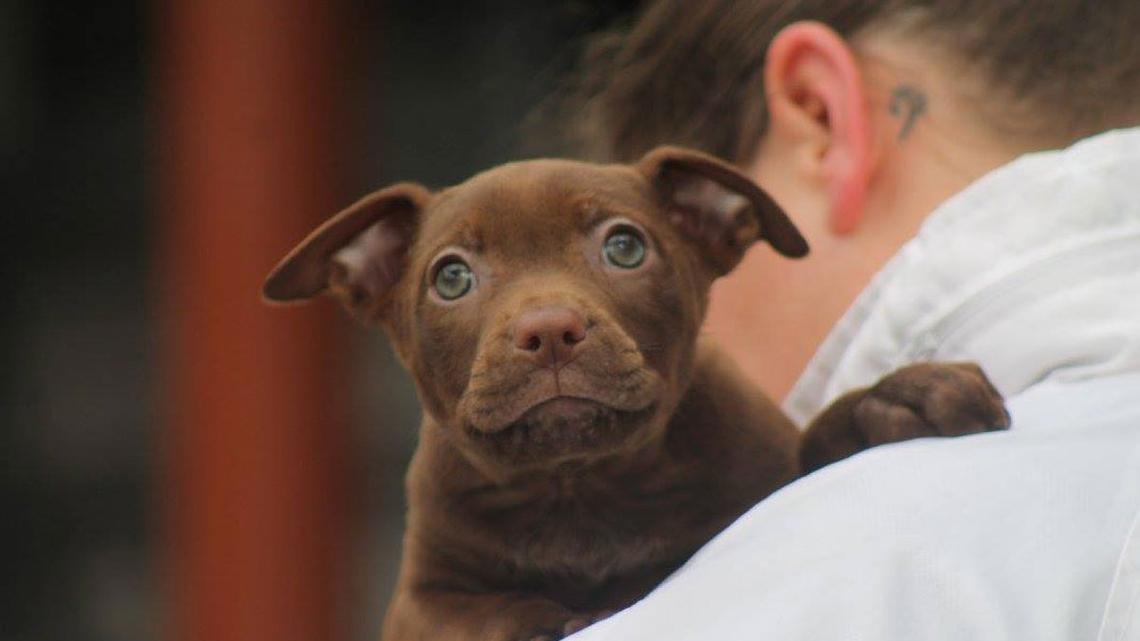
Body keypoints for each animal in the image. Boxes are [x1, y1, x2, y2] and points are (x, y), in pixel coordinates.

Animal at [261, 145, 1007, 638]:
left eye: (624, 247)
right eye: (451, 278)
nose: (548, 329)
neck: (581, 489)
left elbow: (816, 446)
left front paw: (893, 399)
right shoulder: (422, 596)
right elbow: (482, 613)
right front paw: (556, 617)